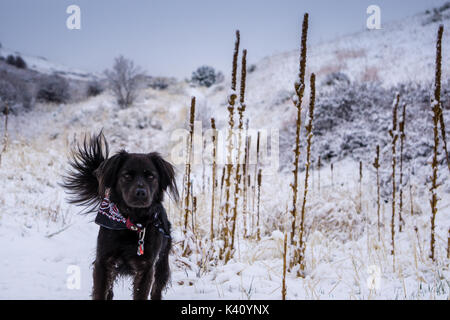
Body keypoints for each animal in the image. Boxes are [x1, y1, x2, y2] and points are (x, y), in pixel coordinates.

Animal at [60, 132, 179, 300]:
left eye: (151, 176)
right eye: (127, 176)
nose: (141, 193)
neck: (132, 223)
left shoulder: (146, 267)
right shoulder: (103, 262)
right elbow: (100, 292)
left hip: (162, 264)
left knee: (157, 289)